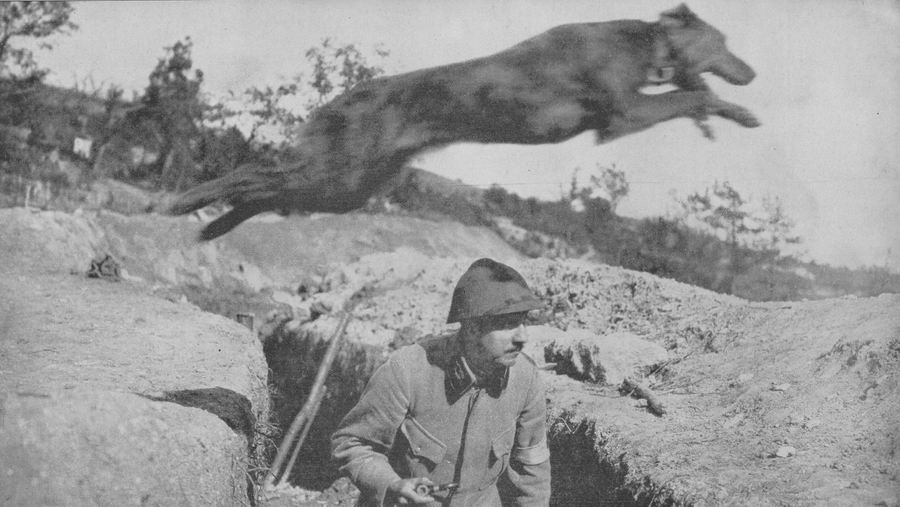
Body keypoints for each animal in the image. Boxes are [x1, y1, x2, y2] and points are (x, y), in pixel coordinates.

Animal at [169, 4, 759, 240]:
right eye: (726, 44)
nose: (752, 73)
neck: (642, 42)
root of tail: (348, 96)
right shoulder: (623, 113)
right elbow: (689, 97)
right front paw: (735, 108)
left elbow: (692, 95)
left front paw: (733, 111)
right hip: (336, 172)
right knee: (252, 173)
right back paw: (183, 202)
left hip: (346, 188)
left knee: (266, 192)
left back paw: (213, 226)